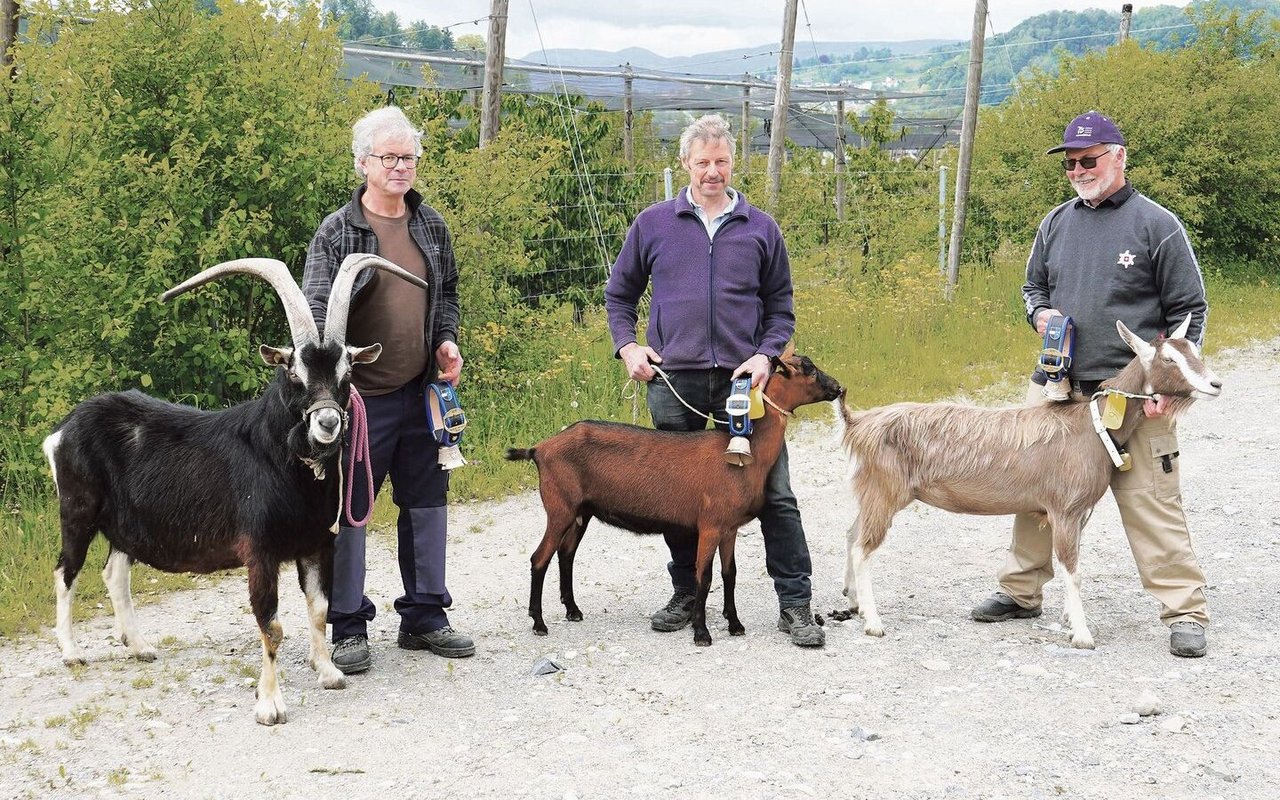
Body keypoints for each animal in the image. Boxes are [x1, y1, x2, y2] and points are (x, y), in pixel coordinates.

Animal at [45, 254, 424, 721]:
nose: (327, 423)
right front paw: (271, 705)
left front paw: (328, 672)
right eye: (293, 372)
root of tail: (64, 429)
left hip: (125, 524)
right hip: (76, 509)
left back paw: (140, 647)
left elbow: (319, 610)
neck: (279, 458)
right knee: (66, 571)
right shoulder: (259, 550)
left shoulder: (317, 544)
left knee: (115, 573)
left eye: (347, 371)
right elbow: (271, 624)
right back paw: (71, 653)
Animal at [504, 353, 844, 645]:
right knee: (540, 558)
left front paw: (735, 624)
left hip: (580, 511)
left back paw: (573, 611)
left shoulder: (729, 528)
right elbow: (704, 577)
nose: (839, 388)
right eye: (809, 369)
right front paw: (702, 633)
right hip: (559, 507)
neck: (748, 455)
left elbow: (730, 574)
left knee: (566, 554)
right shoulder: (709, 525)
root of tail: (539, 449)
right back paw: (539, 623)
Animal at [829, 314, 1218, 645]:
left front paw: (1069, 618)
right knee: (863, 547)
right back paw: (873, 622)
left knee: (851, 534)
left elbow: (1072, 564)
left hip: (872, 491)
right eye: (1168, 359)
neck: (1092, 427)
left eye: (1194, 350)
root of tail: (857, 423)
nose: (1215, 384)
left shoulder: (1077, 513)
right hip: (885, 490)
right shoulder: (1065, 508)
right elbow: (1073, 568)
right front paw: (1081, 634)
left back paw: (853, 602)